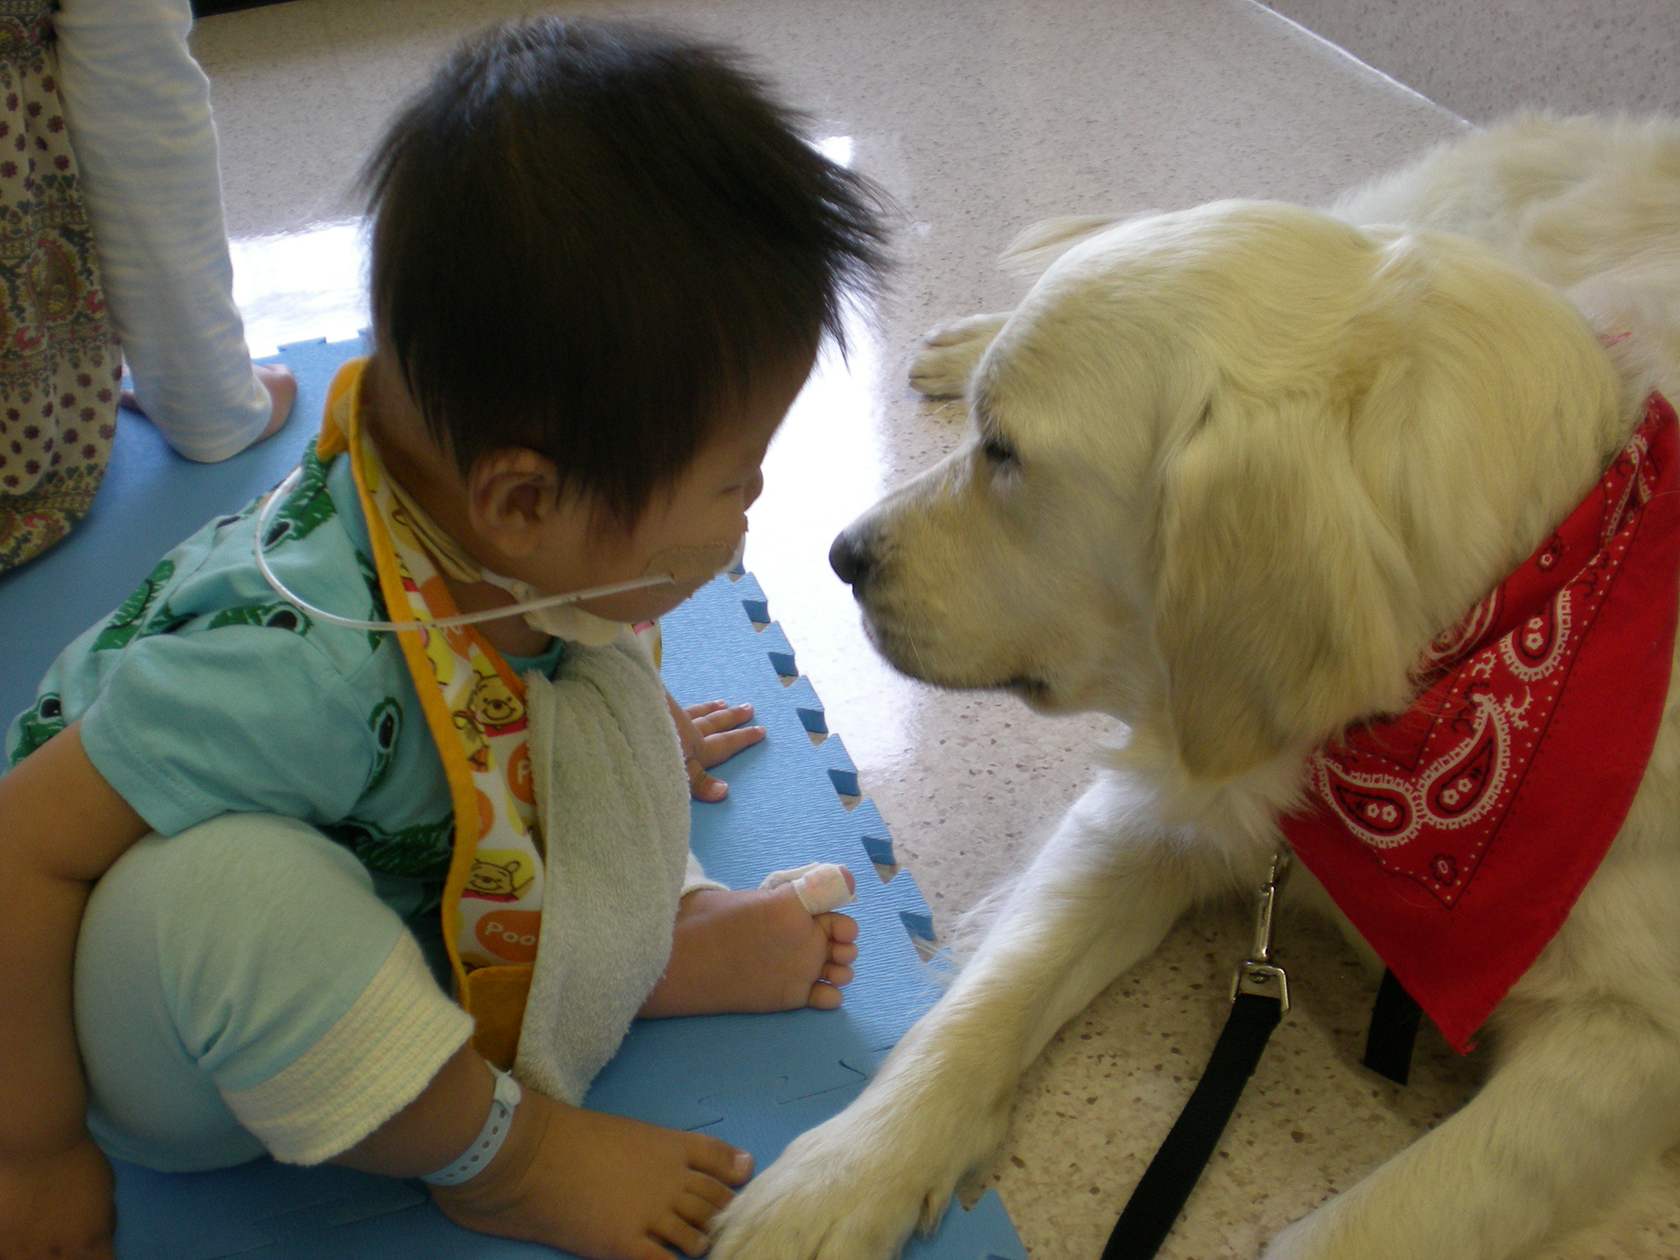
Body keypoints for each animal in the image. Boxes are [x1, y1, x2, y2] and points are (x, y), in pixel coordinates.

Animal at [708, 113, 1680, 1256]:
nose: (842, 556)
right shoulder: (1153, 809)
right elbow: (986, 1006)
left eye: (1007, 453)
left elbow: (1384, 1216)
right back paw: (964, 339)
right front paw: (844, 1173)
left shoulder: (1631, 1037)